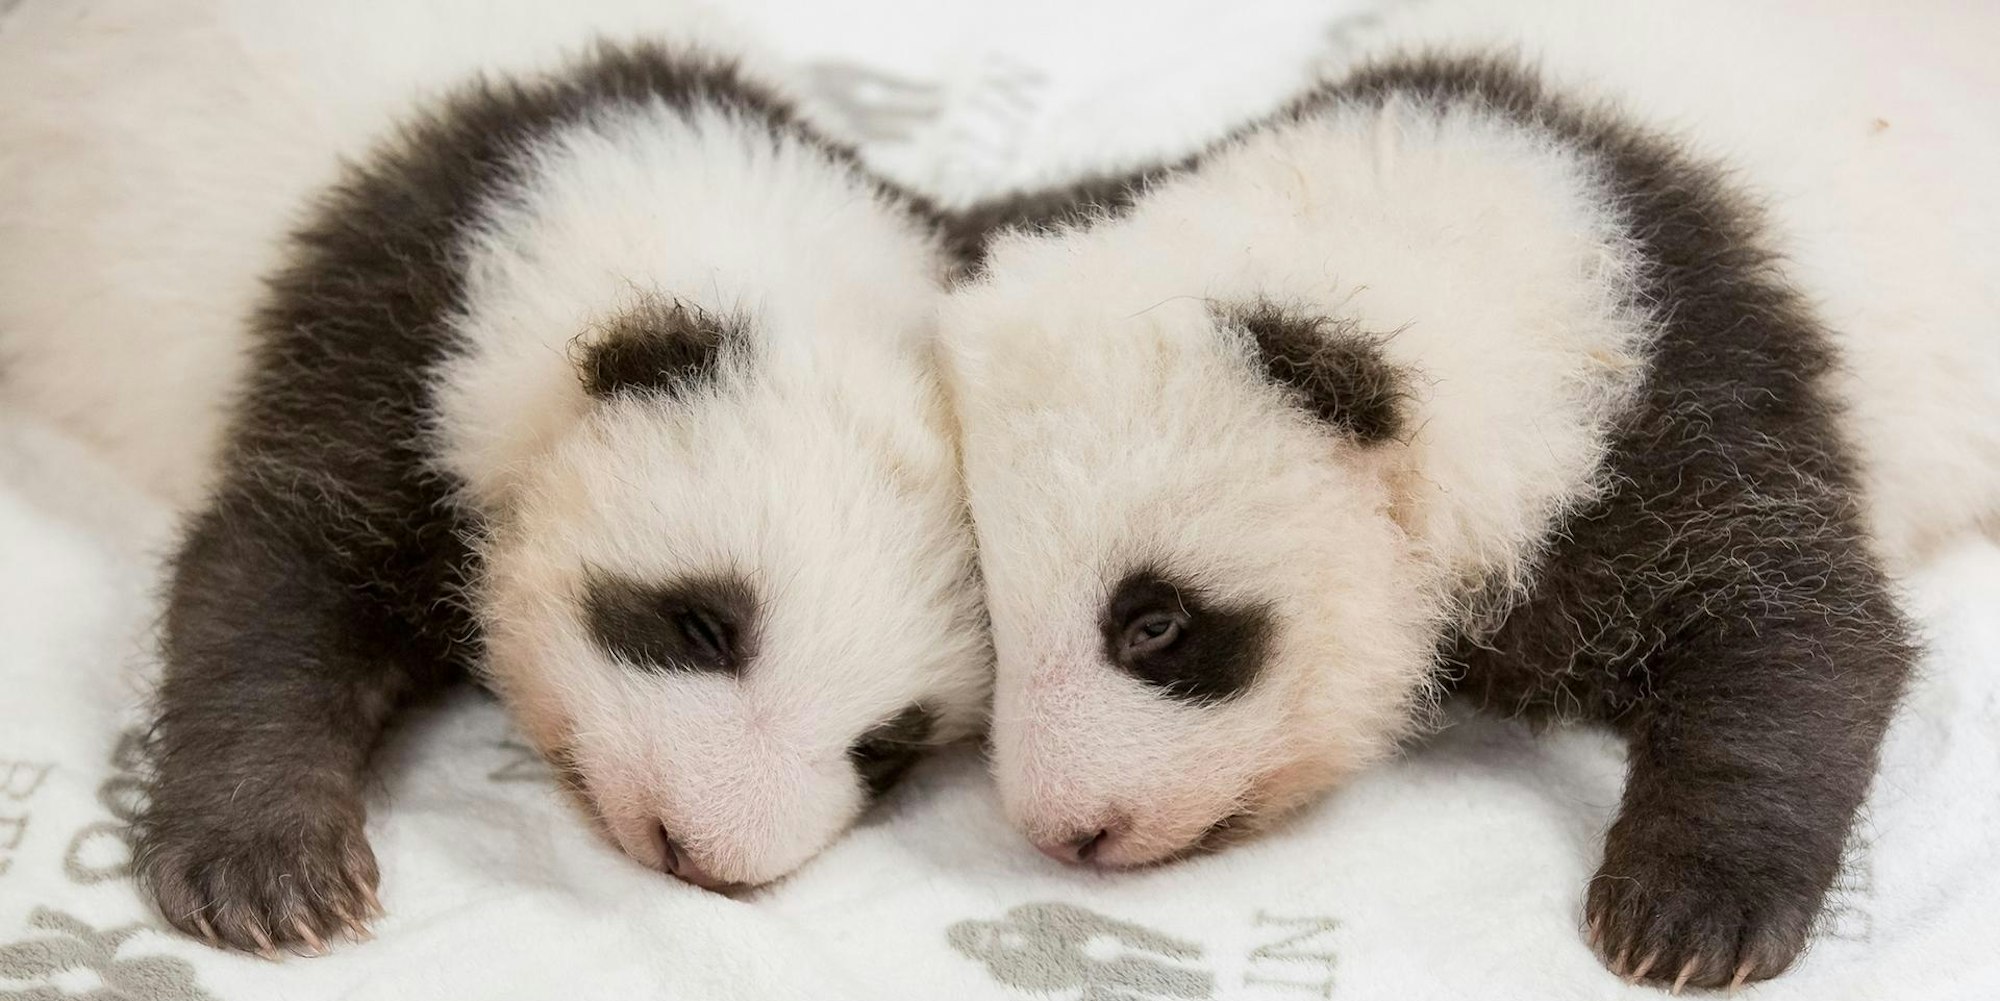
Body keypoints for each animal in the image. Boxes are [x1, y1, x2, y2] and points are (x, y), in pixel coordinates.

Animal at [128, 43, 991, 957]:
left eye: (885, 747)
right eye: (701, 626)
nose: (699, 851)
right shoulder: (389, 342)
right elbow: (275, 568)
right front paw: (268, 870)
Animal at [941, 54, 2000, 992]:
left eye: (1156, 624)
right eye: (995, 613)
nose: (1066, 833)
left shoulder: (1692, 391)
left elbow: (1802, 624)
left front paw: (1686, 915)